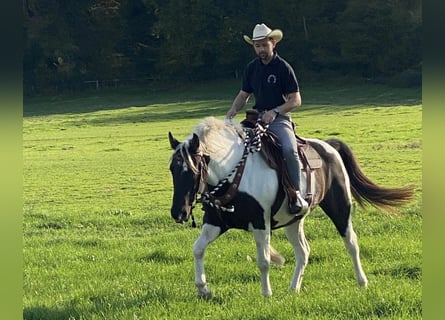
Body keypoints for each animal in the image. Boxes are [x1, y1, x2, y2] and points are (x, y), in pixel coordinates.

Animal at [167, 115, 412, 298]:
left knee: (351, 243)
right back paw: (294, 288)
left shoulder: (260, 222)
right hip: (293, 221)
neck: (235, 173)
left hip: (340, 208)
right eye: (172, 169)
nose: (179, 213)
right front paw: (203, 289)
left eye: (191, 170)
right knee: (303, 251)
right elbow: (198, 249)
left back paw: (362, 281)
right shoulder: (216, 222)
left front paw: (266, 293)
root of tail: (329, 147)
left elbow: (264, 260)